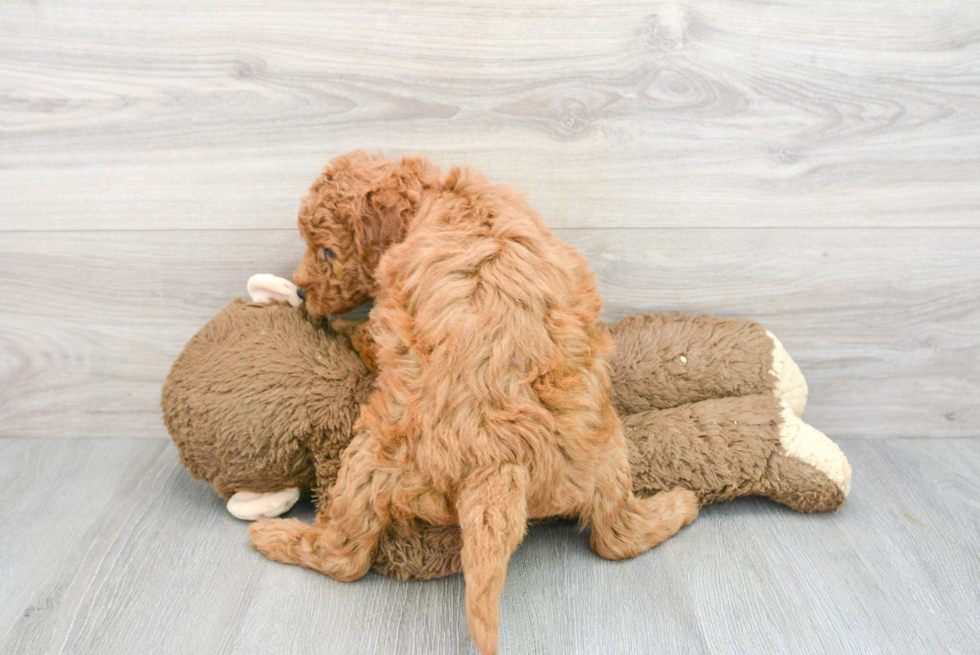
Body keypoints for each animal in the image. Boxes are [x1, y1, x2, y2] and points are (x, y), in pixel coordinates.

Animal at [253, 150, 696, 655]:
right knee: (616, 535)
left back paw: (272, 535)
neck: (439, 194)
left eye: (326, 251)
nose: (300, 289)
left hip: (369, 457)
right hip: (606, 449)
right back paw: (680, 505)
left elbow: (368, 335)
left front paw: (345, 329)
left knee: (344, 556)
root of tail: (496, 462)